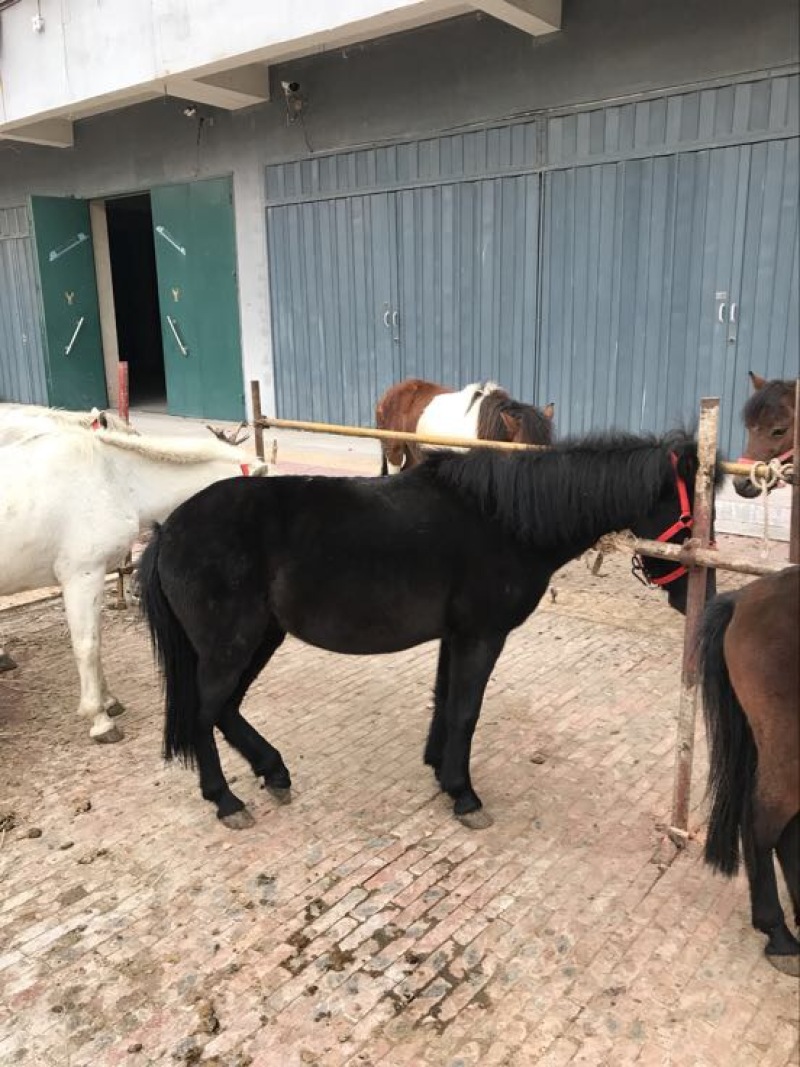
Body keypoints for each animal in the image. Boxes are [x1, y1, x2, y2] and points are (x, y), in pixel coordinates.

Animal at [0, 423, 269, 741]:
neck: (112, 479)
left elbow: (96, 643)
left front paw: (108, 701)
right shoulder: (81, 576)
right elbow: (87, 646)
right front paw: (99, 718)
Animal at [138, 430, 716, 831]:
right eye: (693, 519)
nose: (699, 598)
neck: (504, 521)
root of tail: (170, 528)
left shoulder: (454, 636)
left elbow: (445, 701)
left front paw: (440, 770)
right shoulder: (481, 635)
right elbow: (465, 710)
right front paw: (464, 794)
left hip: (259, 639)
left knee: (226, 710)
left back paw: (273, 771)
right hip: (230, 646)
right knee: (205, 713)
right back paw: (225, 800)